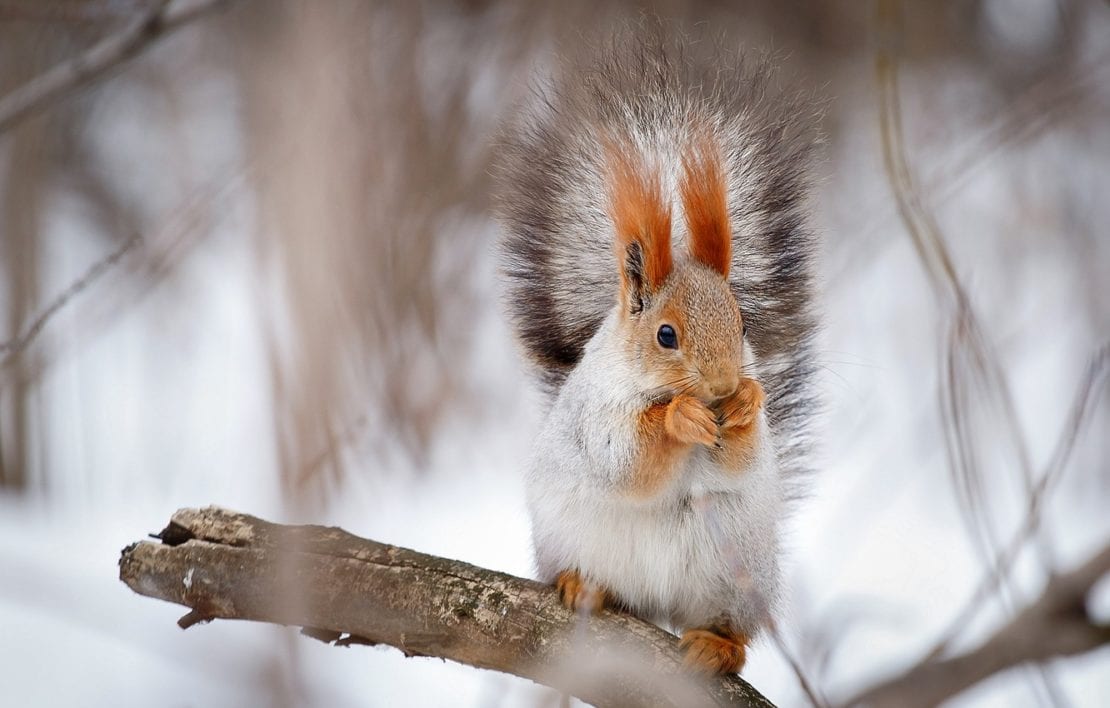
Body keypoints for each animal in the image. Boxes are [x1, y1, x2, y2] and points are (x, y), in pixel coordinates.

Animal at [492, 24, 816, 679]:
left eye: (744, 322)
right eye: (666, 335)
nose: (722, 386)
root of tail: (659, 607)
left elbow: (736, 462)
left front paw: (746, 403)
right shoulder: (595, 415)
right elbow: (624, 458)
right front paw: (680, 418)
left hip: (735, 575)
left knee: (727, 626)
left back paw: (717, 645)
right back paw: (582, 586)